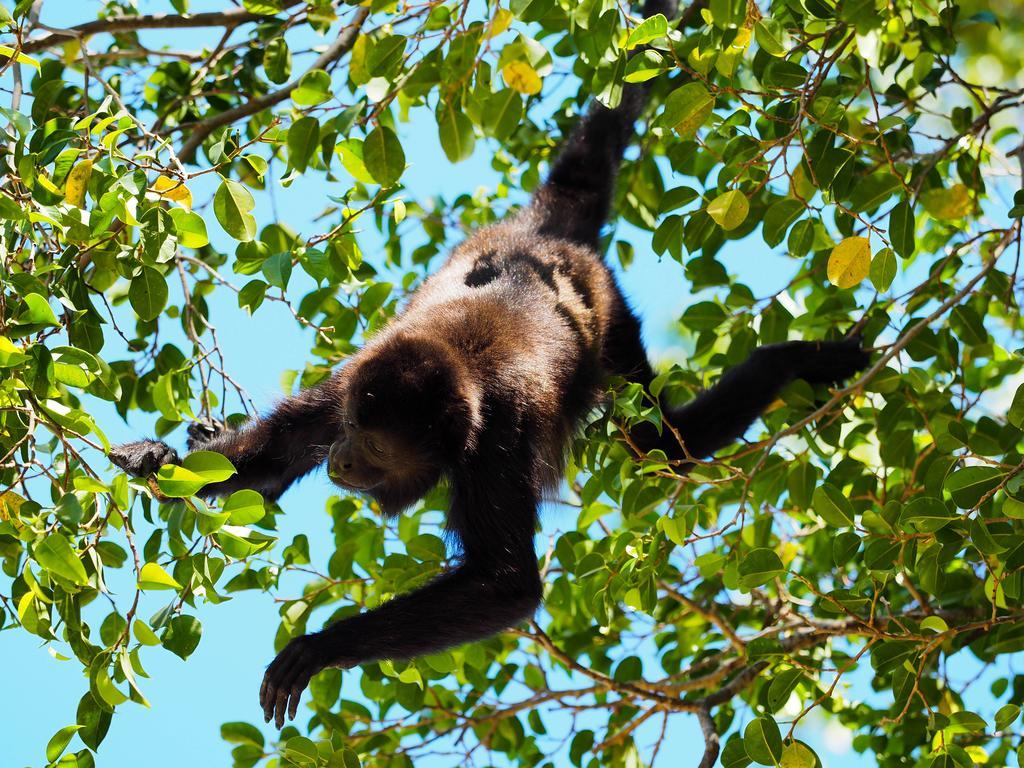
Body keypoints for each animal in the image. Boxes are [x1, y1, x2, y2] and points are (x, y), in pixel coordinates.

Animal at [110, 0, 864, 729]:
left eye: (374, 447)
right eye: (352, 432)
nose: (342, 460)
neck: (456, 374)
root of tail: (542, 239)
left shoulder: (493, 438)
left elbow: (506, 584)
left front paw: (321, 646)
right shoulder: (355, 377)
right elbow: (275, 456)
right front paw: (158, 458)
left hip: (609, 312)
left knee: (658, 444)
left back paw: (790, 363)